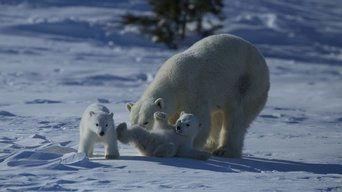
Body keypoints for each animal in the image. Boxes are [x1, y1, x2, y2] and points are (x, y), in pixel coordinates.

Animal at [125, 34, 270, 158]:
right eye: (132, 122)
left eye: (146, 121)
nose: (137, 131)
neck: (172, 80)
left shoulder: (193, 91)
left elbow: (199, 119)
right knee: (218, 117)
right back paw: (210, 146)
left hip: (248, 84)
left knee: (236, 118)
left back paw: (225, 151)